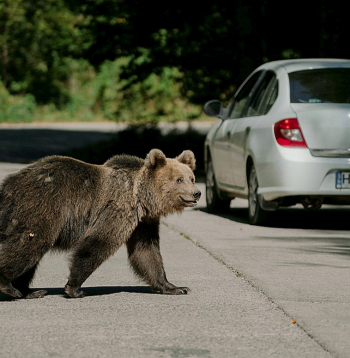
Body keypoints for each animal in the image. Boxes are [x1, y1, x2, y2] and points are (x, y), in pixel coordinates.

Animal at [0, 148, 200, 300]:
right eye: (179, 179)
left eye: (191, 178)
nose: (197, 193)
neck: (141, 197)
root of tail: (8, 183)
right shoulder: (117, 208)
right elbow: (98, 242)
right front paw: (74, 288)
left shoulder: (143, 222)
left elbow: (146, 252)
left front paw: (175, 287)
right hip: (41, 207)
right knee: (28, 244)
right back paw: (8, 285)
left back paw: (29, 291)